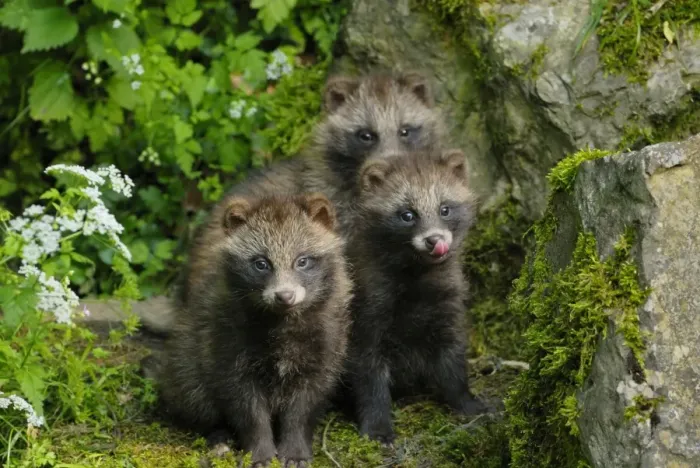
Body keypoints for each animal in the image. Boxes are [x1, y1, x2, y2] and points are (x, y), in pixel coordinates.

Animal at [158, 194, 352, 467]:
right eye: (261, 263)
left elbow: (305, 403)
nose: (285, 296)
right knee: (193, 393)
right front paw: (259, 450)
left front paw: (295, 447)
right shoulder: (225, 340)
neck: (282, 322)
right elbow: (245, 404)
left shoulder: (327, 342)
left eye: (302, 261)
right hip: (186, 356)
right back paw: (217, 433)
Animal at [344, 149, 486, 444]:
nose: (435, 239)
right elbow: (369, 379)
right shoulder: (366, 319)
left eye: (445, 208)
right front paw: (377, 428)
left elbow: (454, 364)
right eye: (407, 214)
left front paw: (469, 404)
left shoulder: (449, 312)